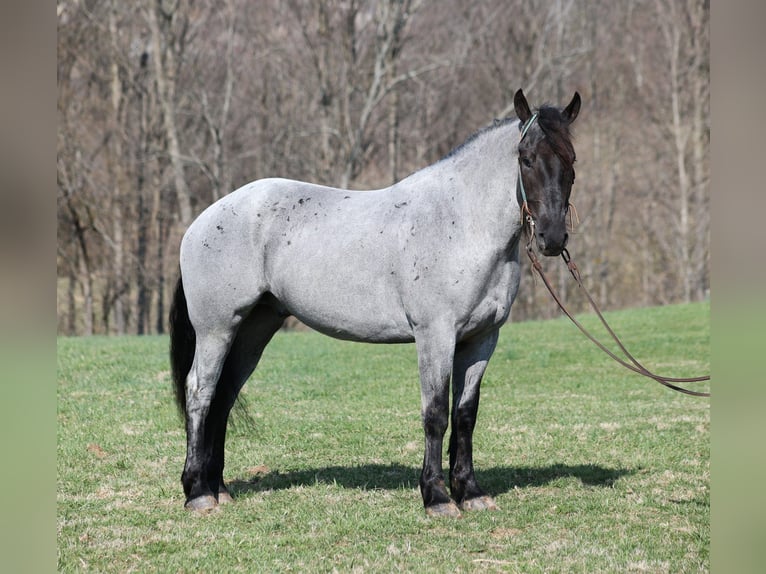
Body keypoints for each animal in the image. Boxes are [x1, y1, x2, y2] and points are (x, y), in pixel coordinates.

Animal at [170, 88, 584, 520]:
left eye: (571, 159)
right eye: (526, 158)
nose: (553, 237)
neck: (461, 223)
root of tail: (202, 220)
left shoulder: (482, 339)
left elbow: (465, 415)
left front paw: (470, 492)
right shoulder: (435, 336)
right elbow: (436, 414)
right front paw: (437, 497)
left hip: (253, 329)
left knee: (223, 398)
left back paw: (219, 489)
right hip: (216, 329)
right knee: (200, 392)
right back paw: (197, 493)